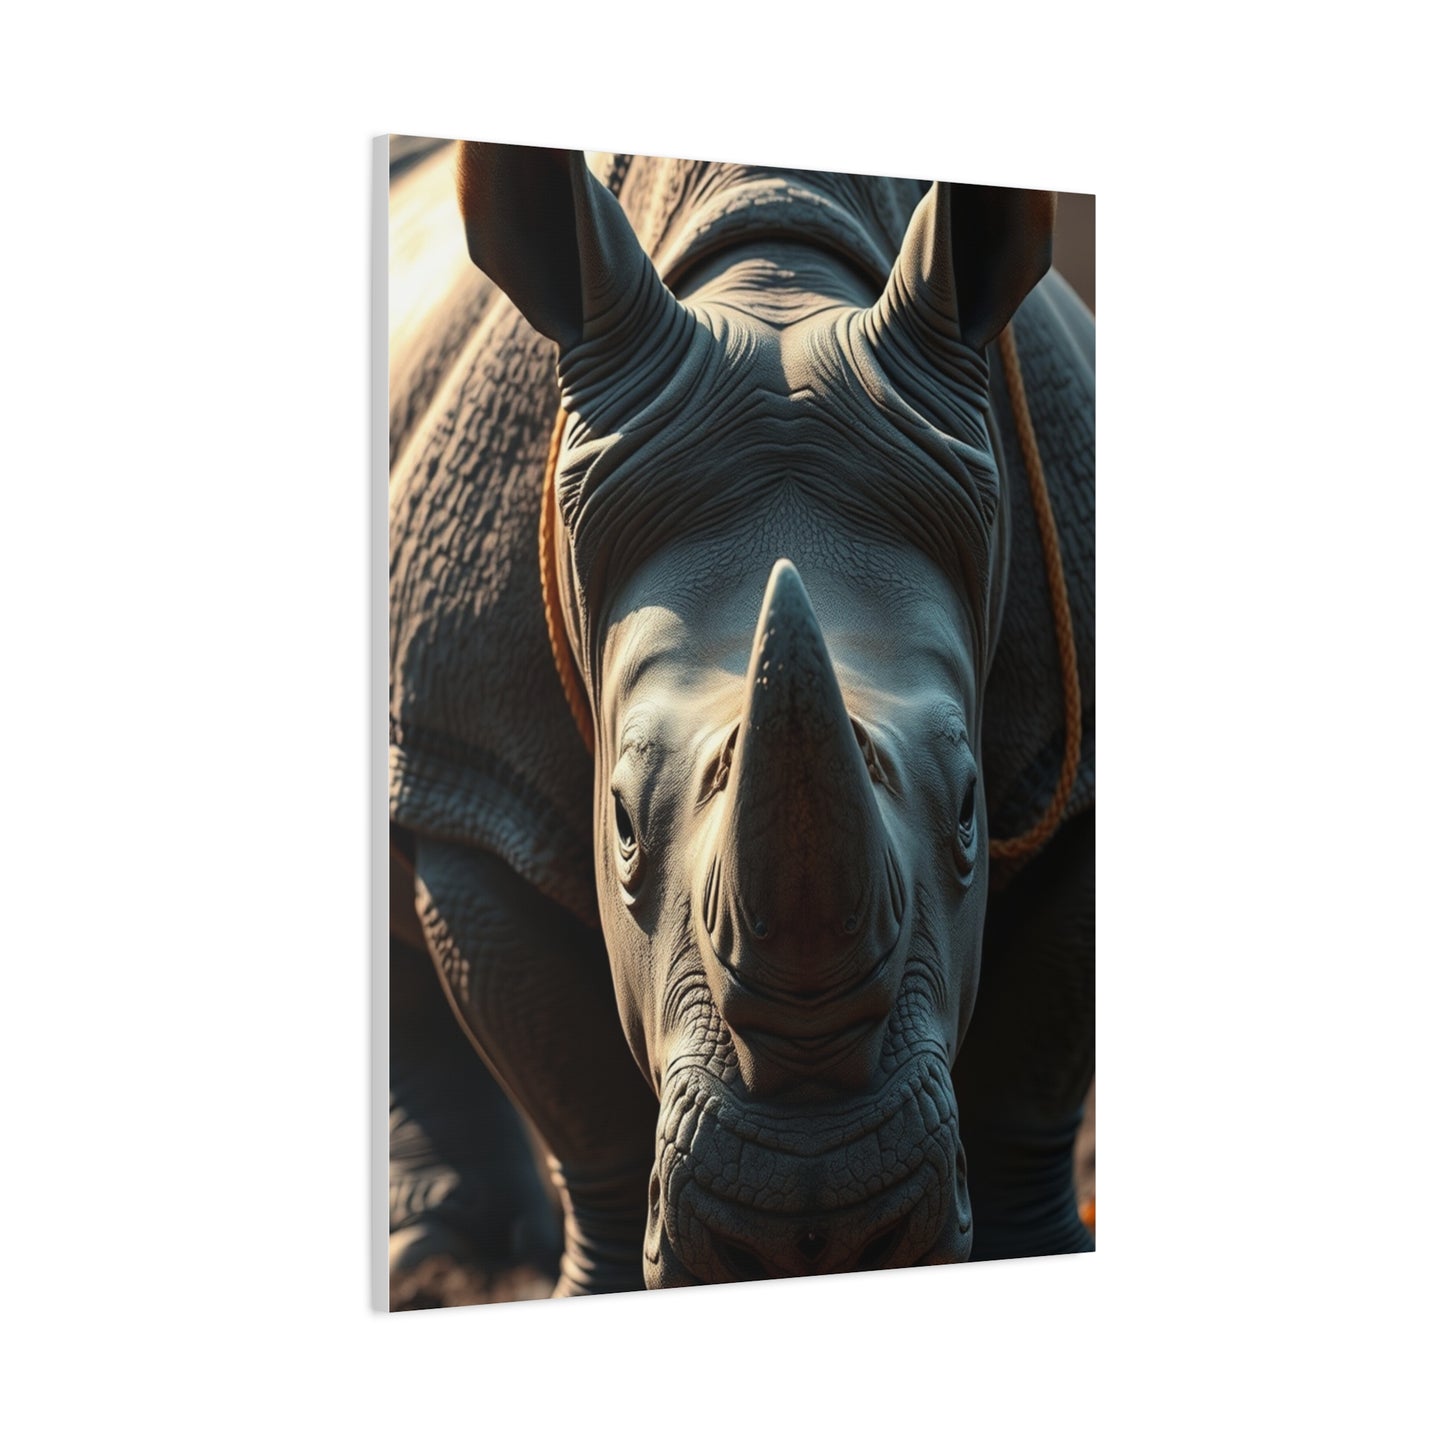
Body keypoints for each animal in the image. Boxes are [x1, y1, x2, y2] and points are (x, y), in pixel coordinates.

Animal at [388, 141, 1094, 1297]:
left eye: (969, 807)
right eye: (620, 820)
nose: (817, 1227)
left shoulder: (1063, 771)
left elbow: (1034, 1061)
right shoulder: (478, 773)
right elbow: (577, 1094)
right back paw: (439, 1259)